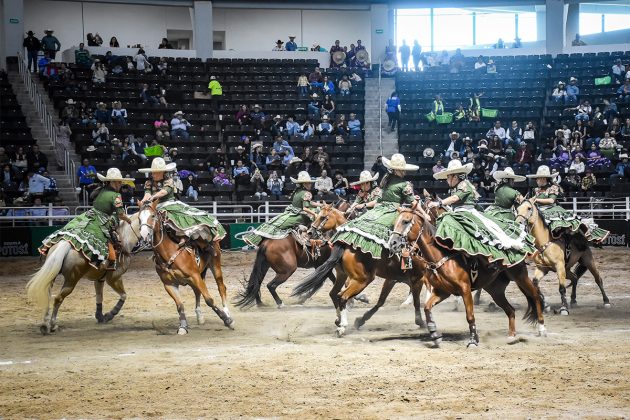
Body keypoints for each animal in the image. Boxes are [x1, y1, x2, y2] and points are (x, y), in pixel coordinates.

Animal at [139, 200, 235, 334]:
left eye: (152, 216)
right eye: (139, 218)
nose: (144, 235)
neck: (169, 252)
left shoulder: (194, 276)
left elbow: (209, 300)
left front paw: (227, 320)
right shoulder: (169, 284)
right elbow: (180, 305)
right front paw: (183, 327)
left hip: (214, 264)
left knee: (221, 287)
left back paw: (227, 312)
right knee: (197, 292)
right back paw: (199, 316)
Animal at [292, 207, 430, 338]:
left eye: (323, 217)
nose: (310, 232)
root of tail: (345, 244)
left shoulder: (395, 278)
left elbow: (383, 301)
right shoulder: (408, 278)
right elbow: (411, 301)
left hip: (347, 276)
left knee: (335, 293)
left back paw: (340, 320)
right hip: (362, 279)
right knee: (341, 295)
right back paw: (342, 325)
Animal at [390, 207, 548, 348]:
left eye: (406, 221)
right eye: (395, 222)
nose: (393, 243)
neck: (442, 257)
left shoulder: (465, 290)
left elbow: (470, 316)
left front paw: (473, 340)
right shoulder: (443, 292)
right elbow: (427, 308)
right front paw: (435, 335)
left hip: (520, 276)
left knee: (535, 295)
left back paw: (542, 328)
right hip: (495, 290)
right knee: (511, 310)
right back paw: (511, 336)